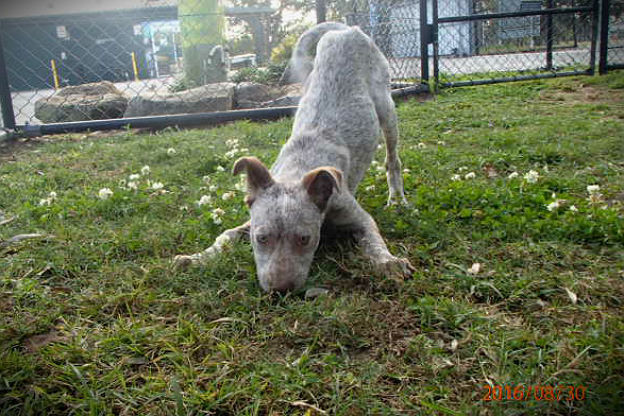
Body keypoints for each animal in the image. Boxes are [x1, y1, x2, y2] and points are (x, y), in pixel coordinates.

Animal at [174, 22, 414, 292]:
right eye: (261, 238)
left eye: (304, 239)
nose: (280, 291)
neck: (296, 170)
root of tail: (346, 30)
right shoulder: (250, 222)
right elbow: (225, 235)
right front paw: (197, 257)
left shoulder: (359, 217)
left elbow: (373, 240)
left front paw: (388, 261)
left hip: (387, 108)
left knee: (392, 159)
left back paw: (397, 198)